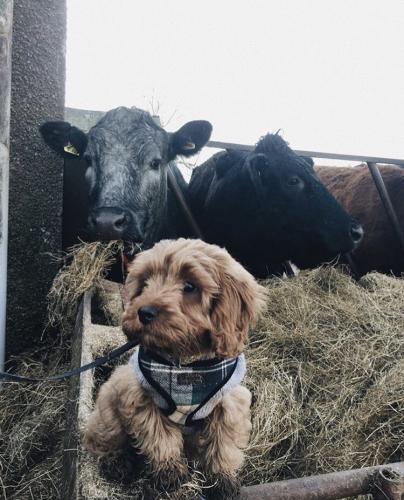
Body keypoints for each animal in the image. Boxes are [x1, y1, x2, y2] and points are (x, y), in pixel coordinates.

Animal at [83, 237, 266, 496]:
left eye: (190, 286)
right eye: (145, 283)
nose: (144, 312)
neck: (184, 365)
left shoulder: (228, 401)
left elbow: (224, 442)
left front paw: (222, 479)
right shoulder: (142, 397)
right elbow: (160, 437)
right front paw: (170, 473)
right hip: (109, 406)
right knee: (102, 438)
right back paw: (116, 462)